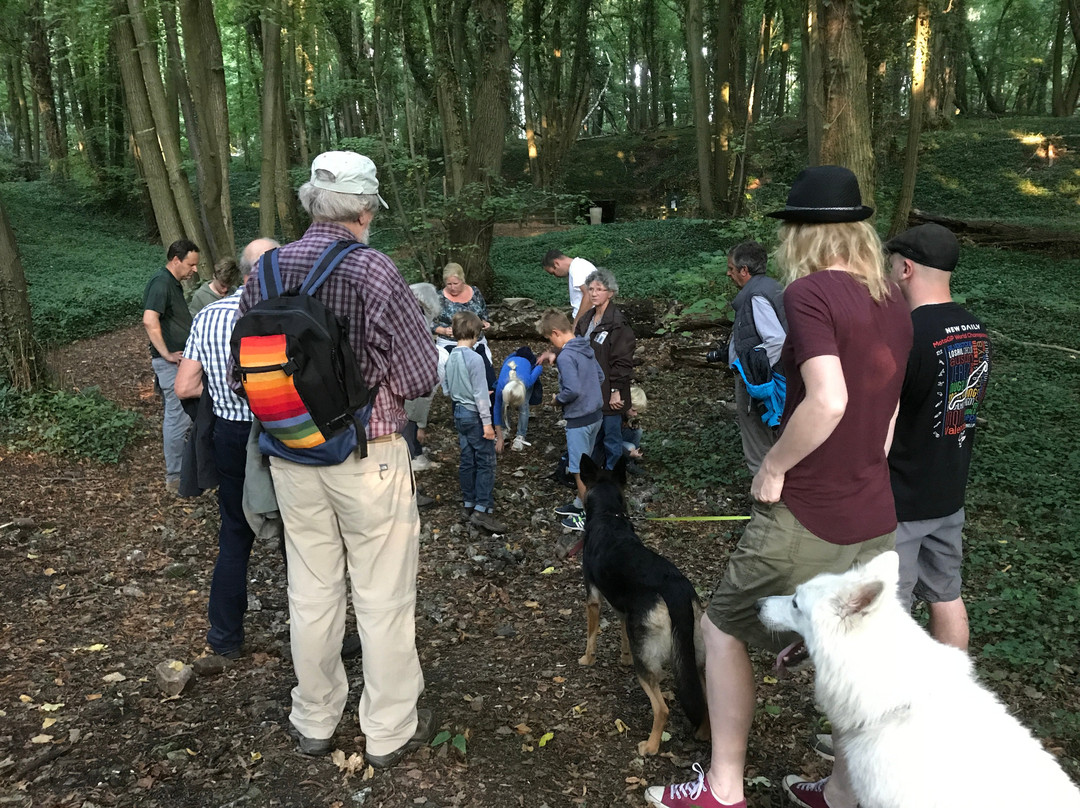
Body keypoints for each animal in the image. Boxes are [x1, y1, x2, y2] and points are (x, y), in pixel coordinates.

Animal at [578, 453, 712, 756]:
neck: (608, 515)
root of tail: (676, 588)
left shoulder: (593, 598)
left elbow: (591, 636)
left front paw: (587, 659)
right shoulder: (625, 613)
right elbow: (624, 637)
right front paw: (624, 658)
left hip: (650, 665)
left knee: (662, 709)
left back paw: (650, 746)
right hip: (693, 655)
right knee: (706, 700)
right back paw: (703, 733)